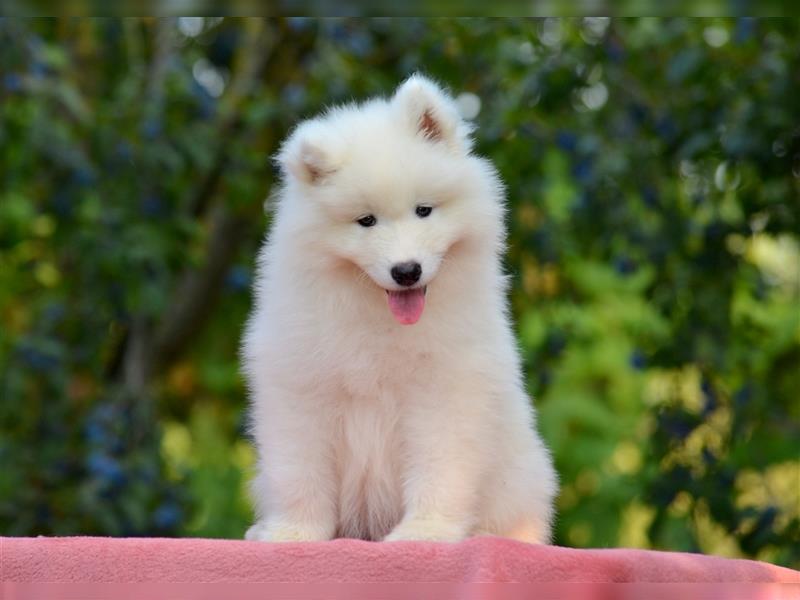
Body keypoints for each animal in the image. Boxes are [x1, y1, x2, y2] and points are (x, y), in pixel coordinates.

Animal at [244, 74, 556, 544]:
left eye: (424, 210)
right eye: (366, 221)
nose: (406, 271)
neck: (377, 314)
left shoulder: (445, 389)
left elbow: (439, 467)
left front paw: (425, 533)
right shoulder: (300, 390)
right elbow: (300, 471)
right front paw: (293, 534)